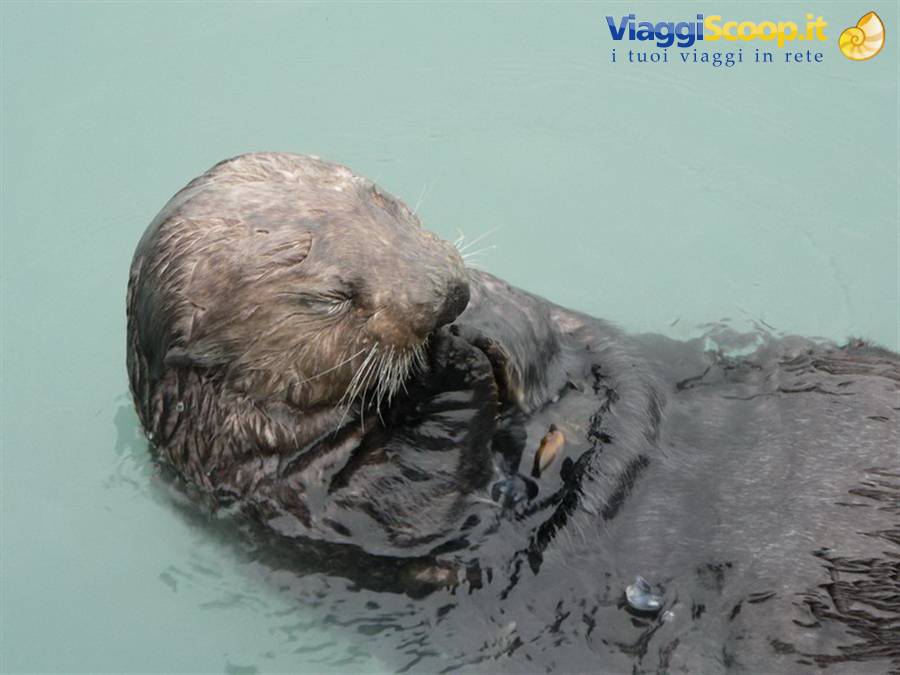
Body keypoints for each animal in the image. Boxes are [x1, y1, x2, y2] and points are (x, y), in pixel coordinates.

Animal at [127, 152, 900, 672]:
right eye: (331, 298)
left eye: (390, 206)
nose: (445, 295)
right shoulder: (296, 498)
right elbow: (405, 507)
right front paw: (452, 361)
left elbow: (545, 332)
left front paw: (487, 318)